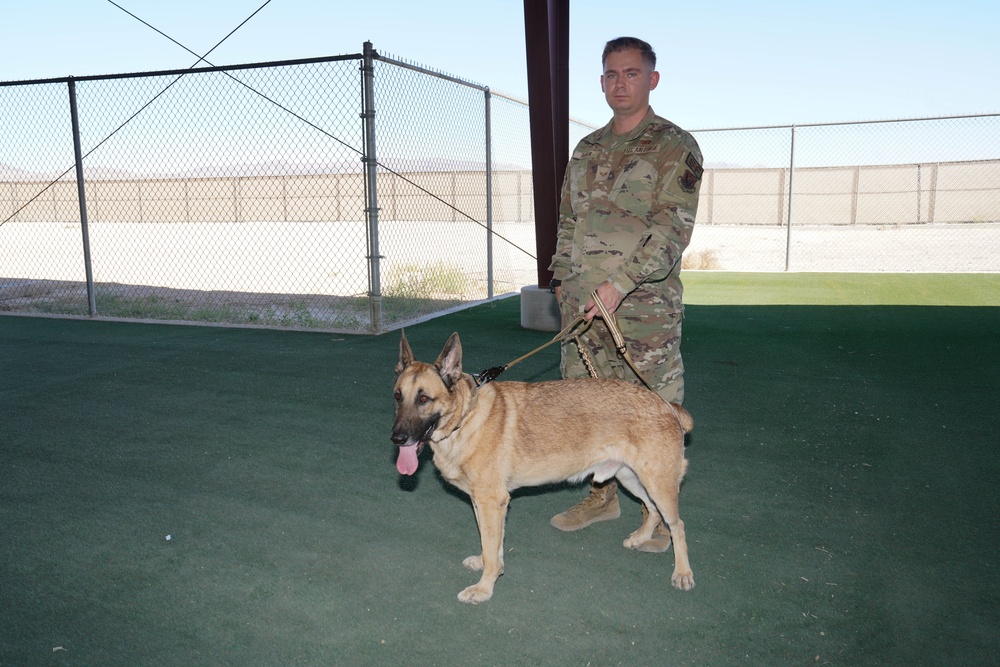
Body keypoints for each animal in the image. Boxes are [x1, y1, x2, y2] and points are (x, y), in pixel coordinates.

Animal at [390, 332, 696, 604]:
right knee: (653, 511)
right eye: (397, 397)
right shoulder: (487, 505)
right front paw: (489, 569)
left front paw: (483, 589)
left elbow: (491, 549)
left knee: (677, 525)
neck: (466, 418)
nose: (397, 438)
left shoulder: (491, 502)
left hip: (657, 484)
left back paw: (682, 573)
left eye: (423, 399)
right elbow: (492, 546)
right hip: (632, 479)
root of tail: (667, 405)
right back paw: (640, 538)